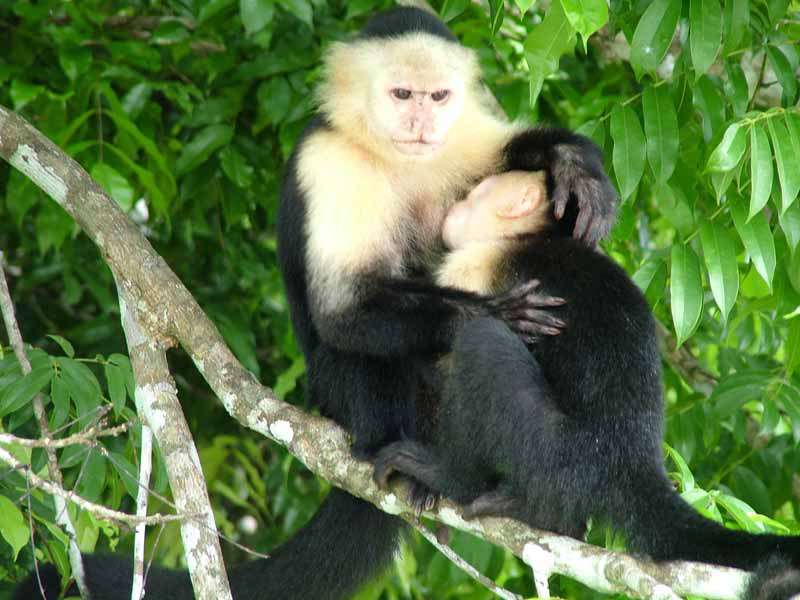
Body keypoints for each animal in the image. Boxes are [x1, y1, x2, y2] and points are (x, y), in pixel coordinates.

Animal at [14, 5, 620, 600]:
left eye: (438, 97)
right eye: (402, 94)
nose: (421, 124)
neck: (394, 154)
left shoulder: (459, 136)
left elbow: (509, 158)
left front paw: (573, 162)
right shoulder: (329, 161)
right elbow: (344, 308)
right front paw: (491, 314)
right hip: (337, 393)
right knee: (366, 353)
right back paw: (398, 458)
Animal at [374, 170, 800, 600]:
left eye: (476, 193)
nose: (456, 205)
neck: (523, 238)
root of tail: (634, 461)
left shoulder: (477, 264)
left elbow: (439, 360)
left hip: (558, 452)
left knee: (484, 344)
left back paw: (455, 479)